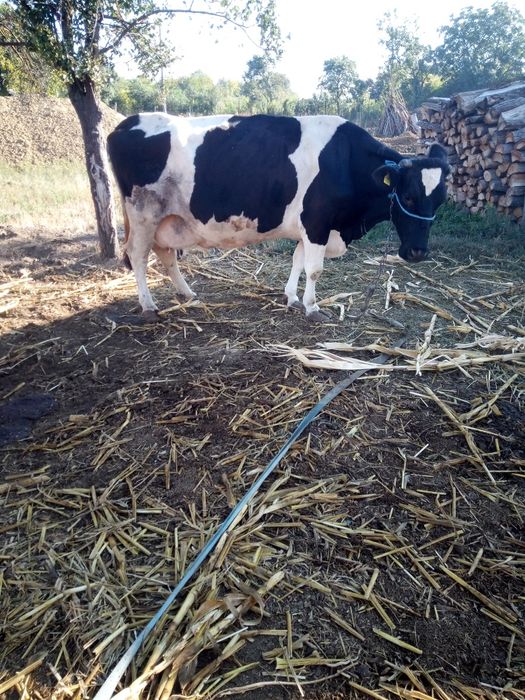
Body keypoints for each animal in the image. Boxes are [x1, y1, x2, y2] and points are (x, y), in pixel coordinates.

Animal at [107, 113, 449, 322]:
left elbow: (297, 261)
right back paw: (149, 305)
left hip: (166, 218)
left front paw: (293, 298)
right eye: (408, 196)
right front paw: (312, 307)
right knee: (137, 256)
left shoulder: (308, 228)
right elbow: (314, 269)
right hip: (143, 214)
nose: (417, 253)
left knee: (165, 254)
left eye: (441, 200)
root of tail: (127, 123)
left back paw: (187, 293)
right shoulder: (317, 222)